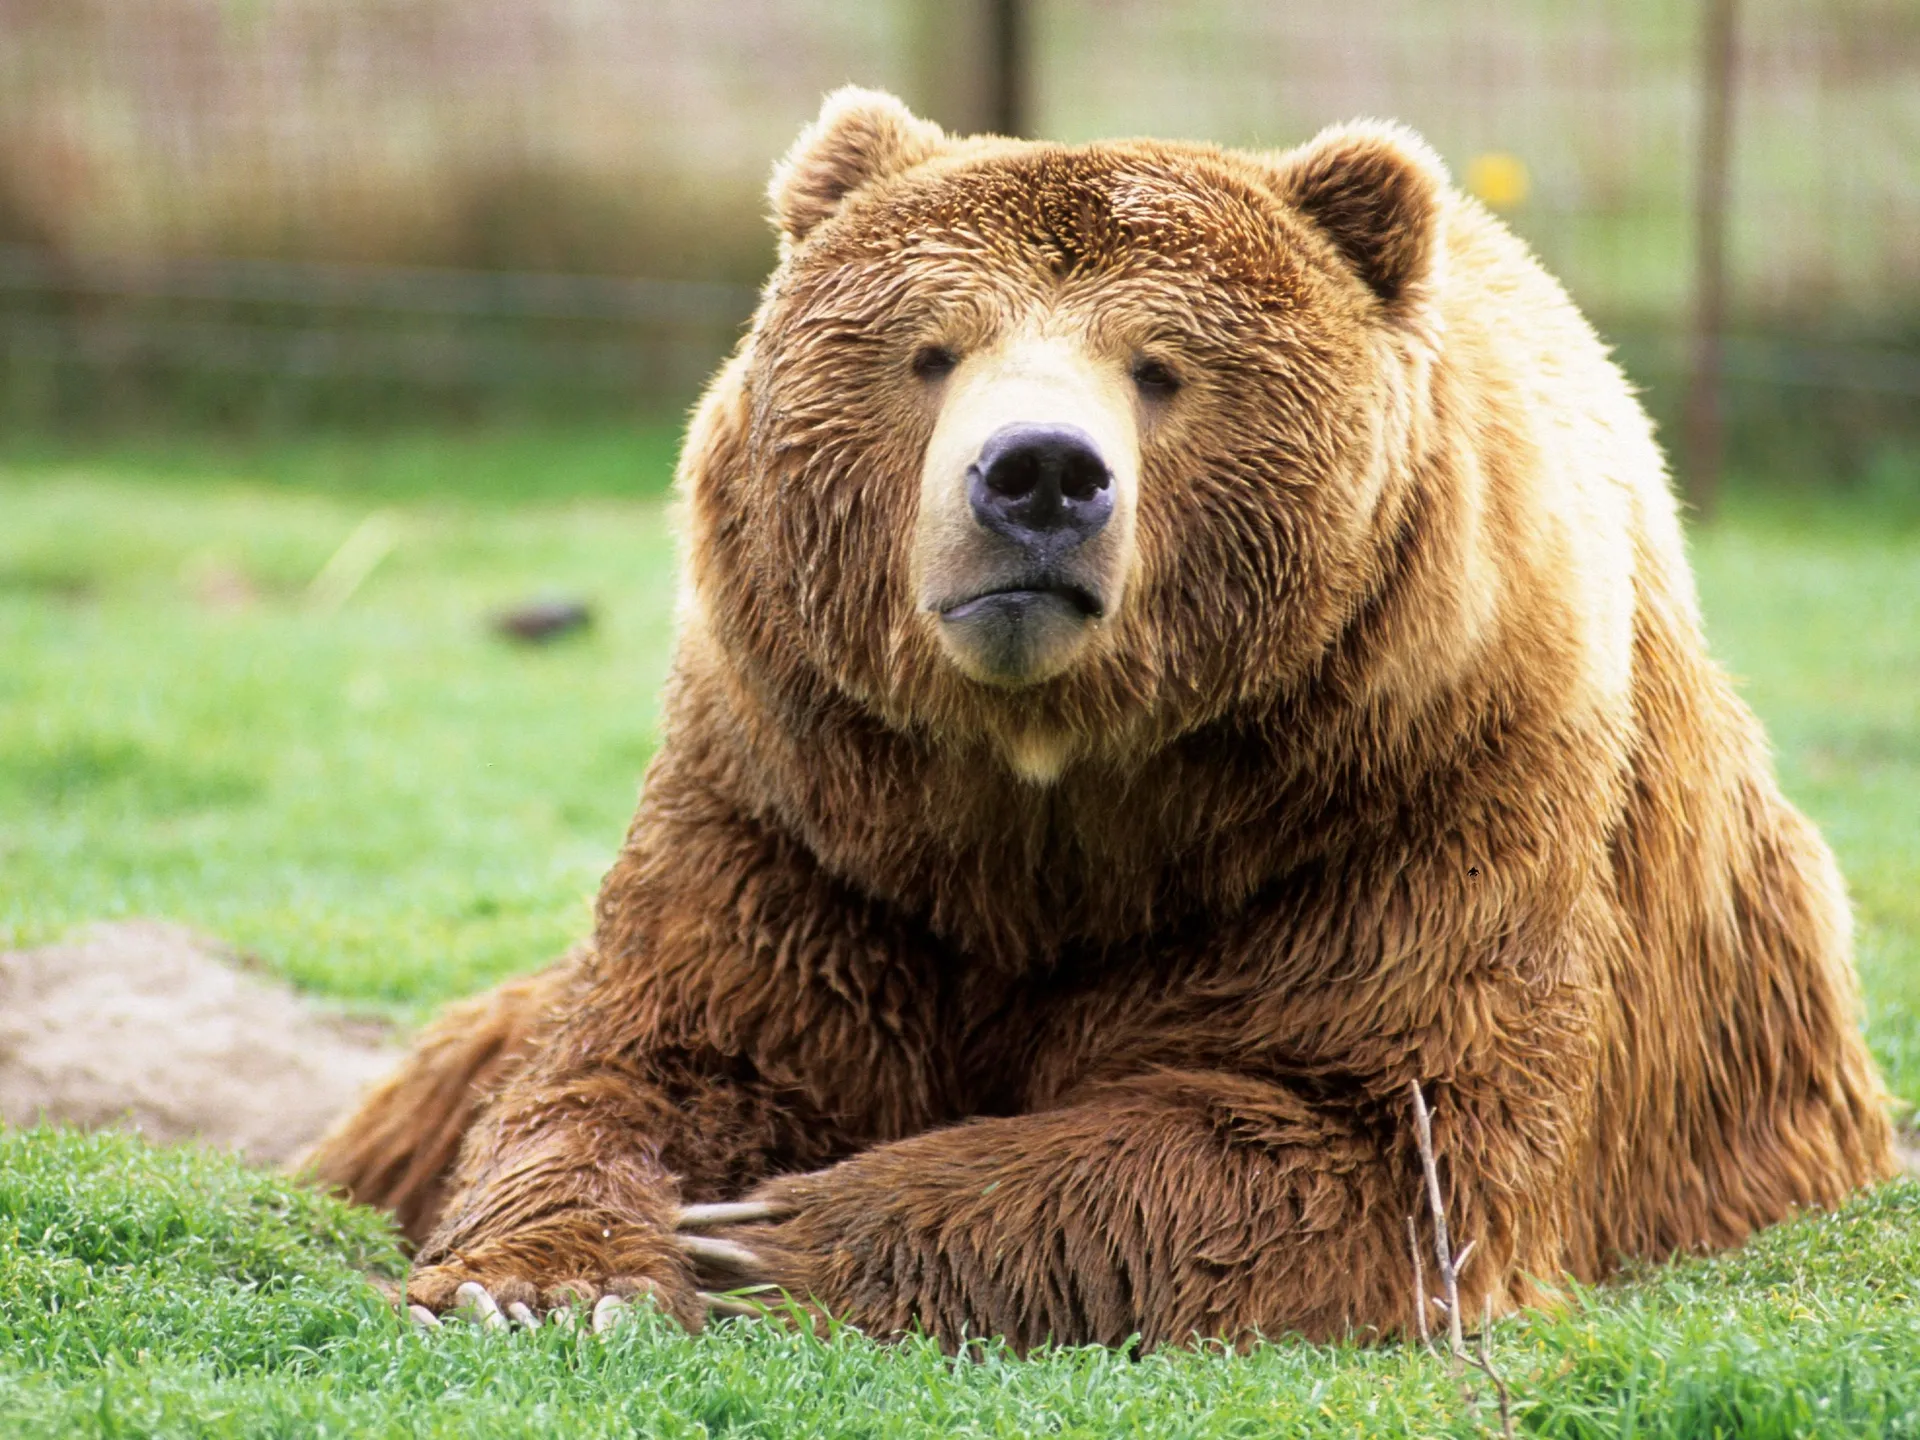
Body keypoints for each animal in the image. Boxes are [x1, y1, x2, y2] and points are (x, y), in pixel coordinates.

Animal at [307, 90, 1896, 1351]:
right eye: (932, 350)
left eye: (1162, 365)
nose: (1039, 476)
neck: (1059, 788)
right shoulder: (806, 810)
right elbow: (658, 1060)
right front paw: (545, 1279)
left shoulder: (1415, 799)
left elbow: (1365, 1130)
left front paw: (774, 1233)